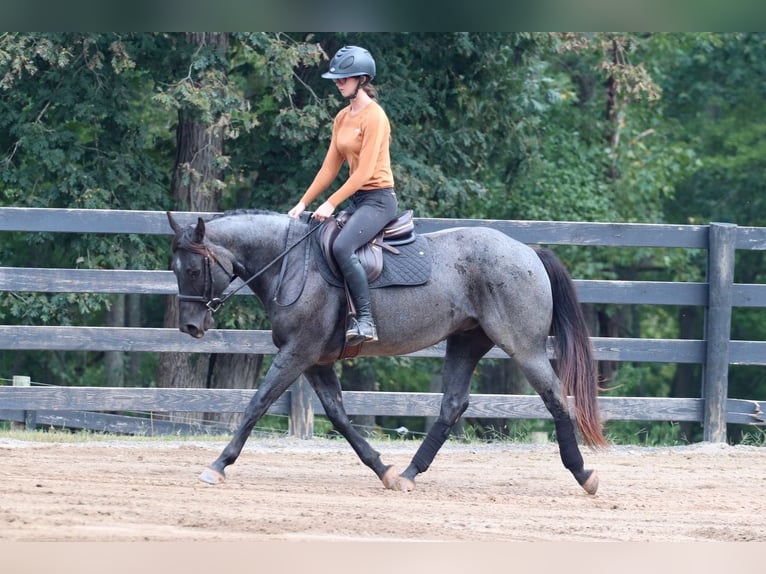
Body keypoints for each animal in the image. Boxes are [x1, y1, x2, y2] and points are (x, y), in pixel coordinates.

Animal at [170, 209, 612, 498]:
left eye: (191, 270)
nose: (190, 327)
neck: (291, 263)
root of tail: (529, 252)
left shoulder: (298, 353)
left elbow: (257, 404)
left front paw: (218, 465)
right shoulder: (315, 360)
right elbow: (339, 416)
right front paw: (382, 468)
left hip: (524, 347)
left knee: (556, 399)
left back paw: (583, 473)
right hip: (467, 341)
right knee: (453, 405)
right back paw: (409, 473)